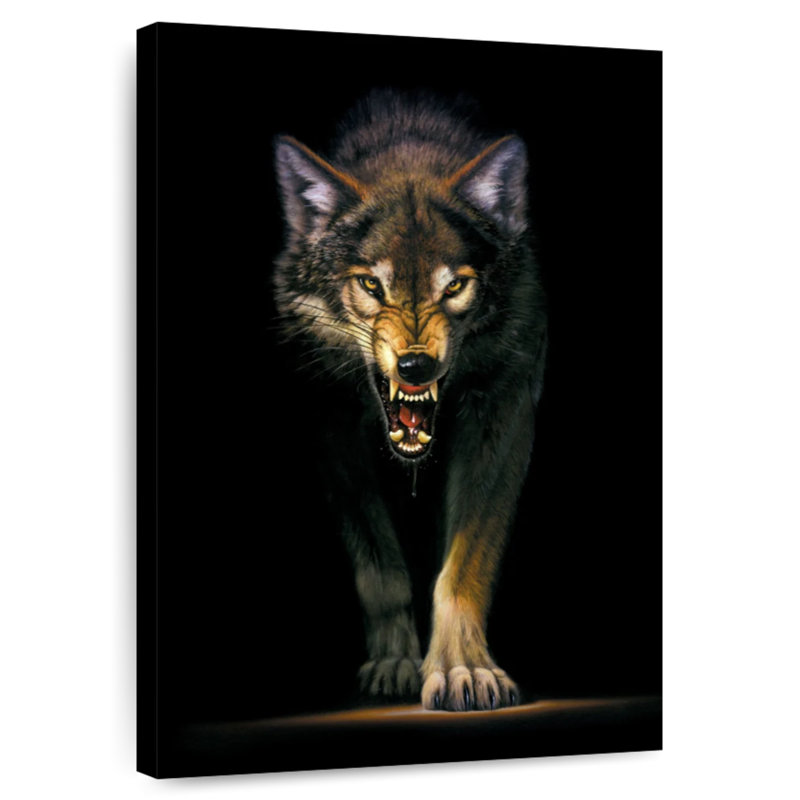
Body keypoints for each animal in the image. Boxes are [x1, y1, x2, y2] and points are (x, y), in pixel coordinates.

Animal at [273, 92, 546, 711]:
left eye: (455, 286)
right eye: (372, 286)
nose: (416, 366)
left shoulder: (505, 411)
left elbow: (464, 565)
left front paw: (465, 669)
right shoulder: (329, 422)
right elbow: (382, 571)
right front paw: (395, 662)